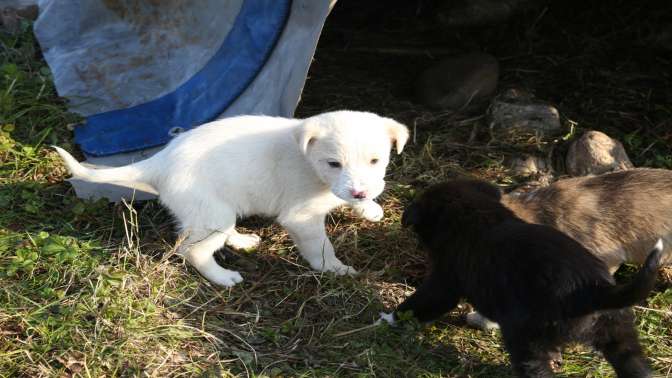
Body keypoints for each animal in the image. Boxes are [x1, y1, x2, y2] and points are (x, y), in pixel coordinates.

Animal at [53, 109, 410, 286]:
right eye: (333, 164)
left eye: (376, 160)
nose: (360, 191)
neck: (309, 162)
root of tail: (160, 161)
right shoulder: (302, 217)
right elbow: (321, 248)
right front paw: (334, 269)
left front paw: (369, 207)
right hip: (211, 214)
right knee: (192, 251)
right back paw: (223, 277)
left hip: (215, 214)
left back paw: (241, 240)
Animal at [384, 180, 660, 378]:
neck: (474, 211)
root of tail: (595, 290)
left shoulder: (445, 281)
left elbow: (421, 302)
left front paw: (386, 319)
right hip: (620, 334)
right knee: (636, 366)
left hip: (526, 338)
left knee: (536, 370)